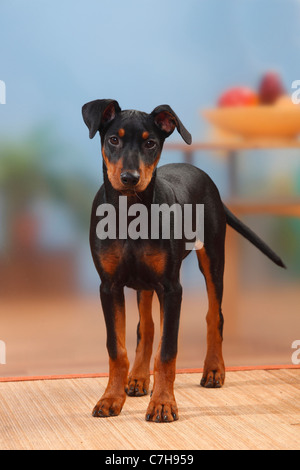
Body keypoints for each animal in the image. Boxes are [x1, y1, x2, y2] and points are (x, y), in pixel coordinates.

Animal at [81, 99, 284, 422]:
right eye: (113, 139)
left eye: (150, 143)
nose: (129, 179)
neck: (130, 214)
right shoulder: (108, 286)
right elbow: (116, 348)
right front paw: (111, 398)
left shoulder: (171, 288)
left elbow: (168, 351)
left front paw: (163, 404)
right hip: (144, 282)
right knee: (147, 327)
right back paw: (138, 378)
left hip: (212, 260)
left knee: (214, 315)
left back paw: (213, 370)